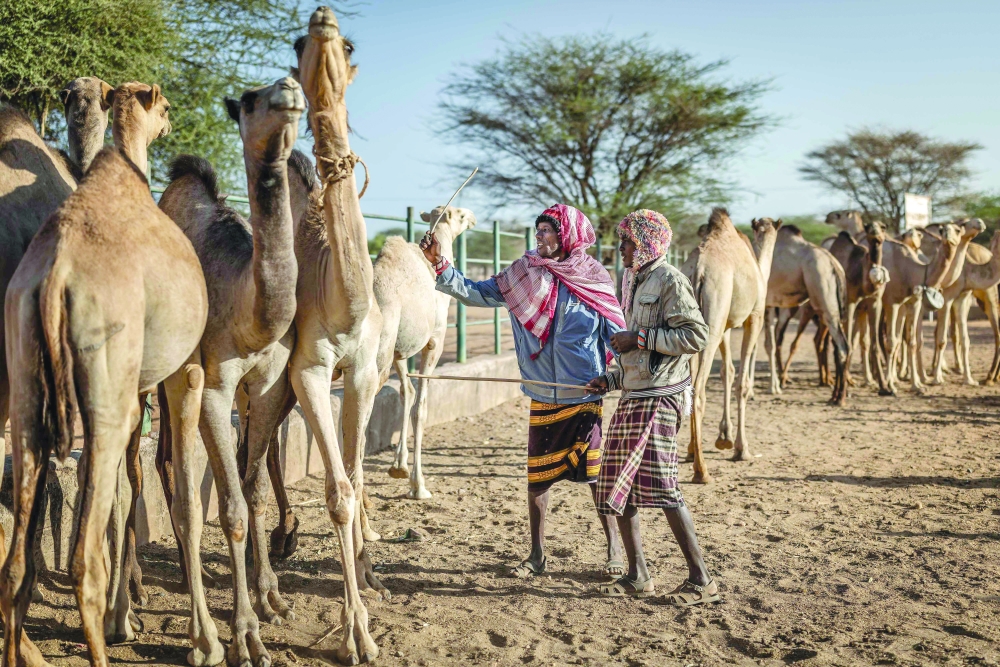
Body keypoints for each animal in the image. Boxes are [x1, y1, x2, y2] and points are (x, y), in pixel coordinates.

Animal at [1, 81, 221, 667]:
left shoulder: (135, 388)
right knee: (82, 560)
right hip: (103, 390)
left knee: (16, 560)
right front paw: (206, 641)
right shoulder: (173, 374)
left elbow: (131, 485)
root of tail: (53, 280)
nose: (170, 121)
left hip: (27, 389)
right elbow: (177, 491)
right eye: (164, 107)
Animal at [681, 210, 776, 483]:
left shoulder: (726, 325)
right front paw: (741, 449)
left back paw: (692, 455)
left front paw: (723, 438)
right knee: (698, 391)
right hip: (714, 316)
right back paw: (702, 472)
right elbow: (741, 382)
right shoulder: (754, 317)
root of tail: (698, 271)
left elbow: (728, 372)